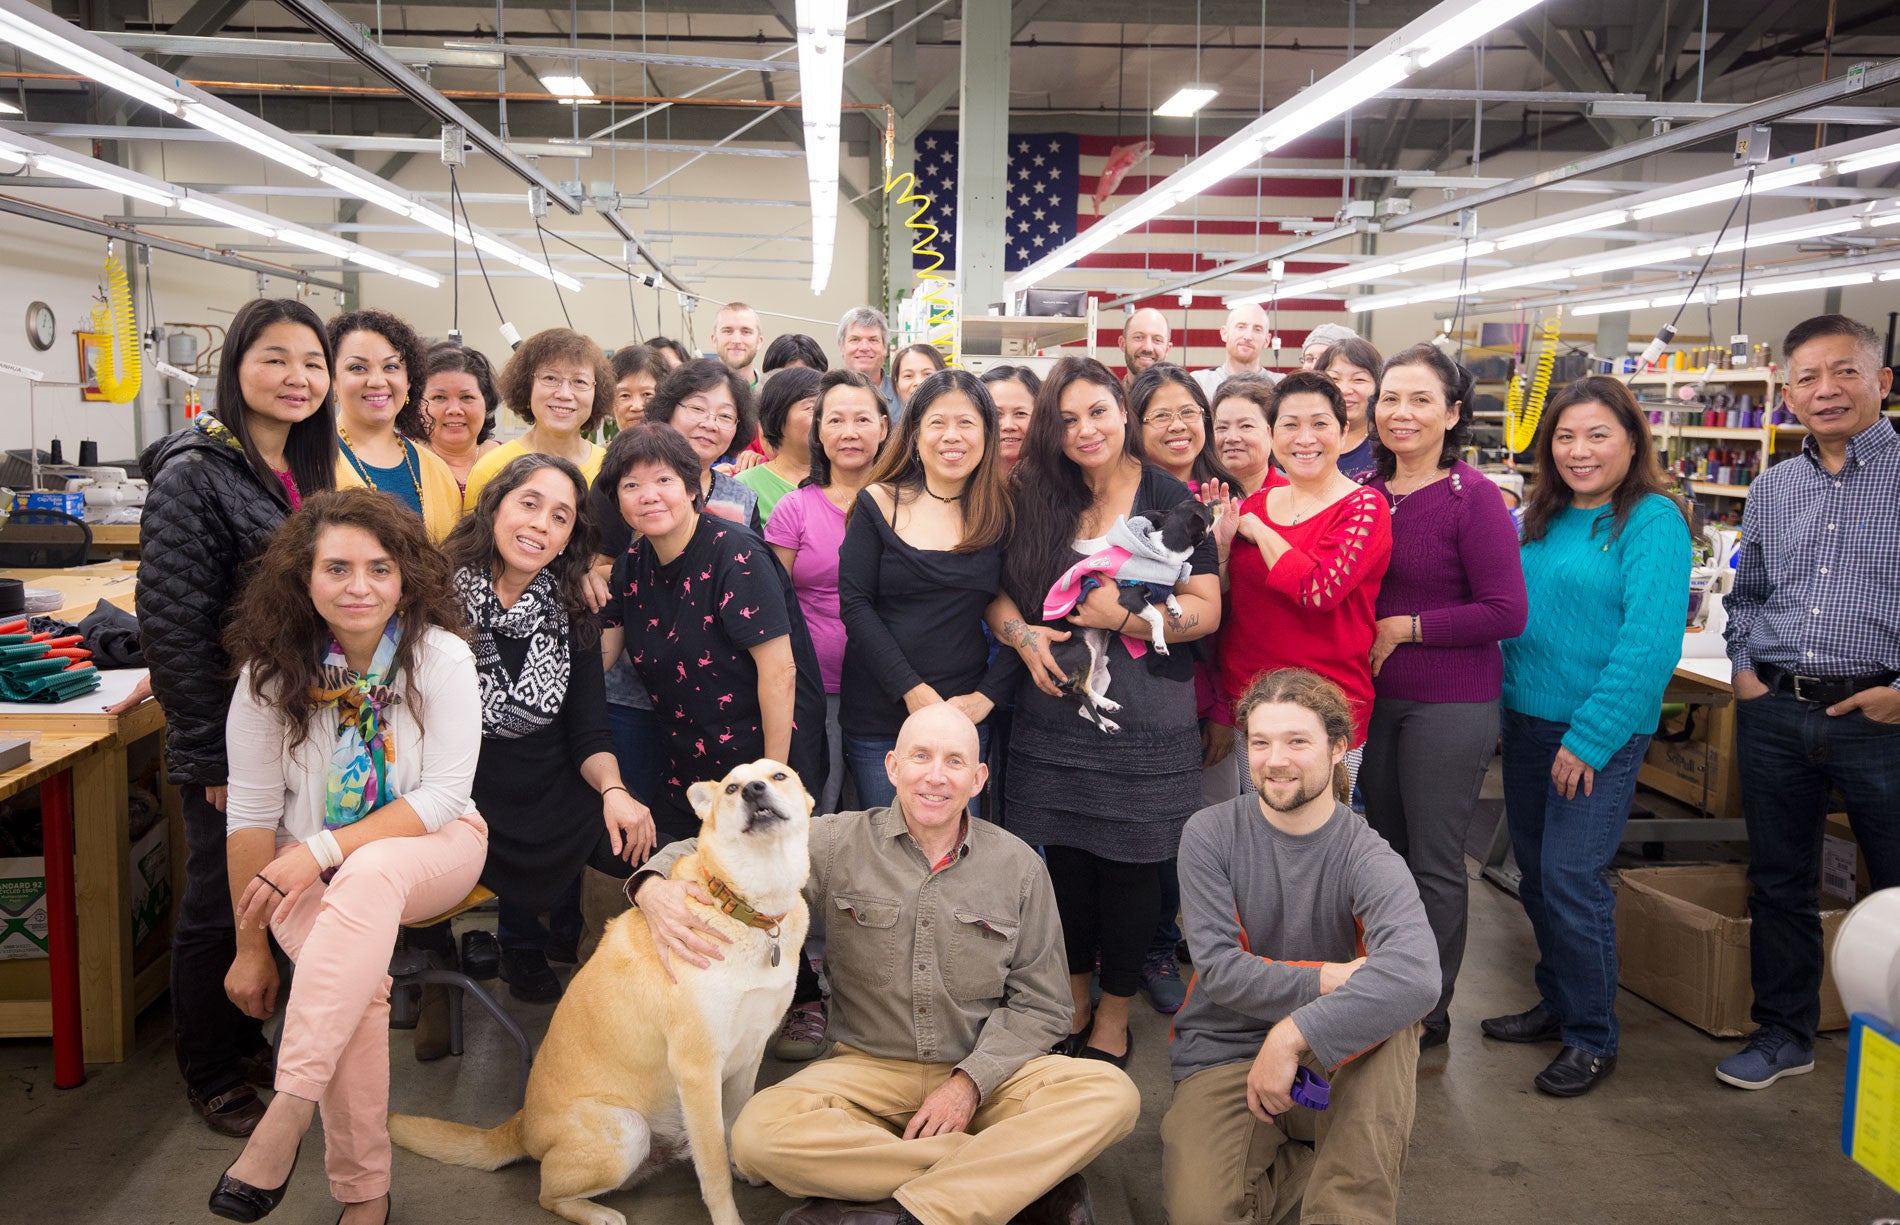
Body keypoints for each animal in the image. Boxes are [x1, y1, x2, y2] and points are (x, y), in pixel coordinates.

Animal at [393, 763, 817, 1223]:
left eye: (778, 776)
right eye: (733, 788)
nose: (754, 791)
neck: (746, 909)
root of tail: (521, 1123)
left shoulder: (748, 1056)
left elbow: (734, 1127)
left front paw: (744, 1166)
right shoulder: (697, 1070)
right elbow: (714, 1168)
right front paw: (729, 1215)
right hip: (627, 1130)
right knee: (547, 1194)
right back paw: (601, 1215)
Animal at [1048, 497, 1208, 729]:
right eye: (1206, 511)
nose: (1213, 502)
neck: (1161, 551)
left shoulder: (1157, 590)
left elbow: (1168, 595)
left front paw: (1174, 607)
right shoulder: (1131, 597)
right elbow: (1156, 615)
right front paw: (1160, 642)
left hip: (1101, 673)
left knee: (1085, 706)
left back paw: (1108, 721)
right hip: (1083, 651)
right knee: (1081, 689)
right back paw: (1109, 704)